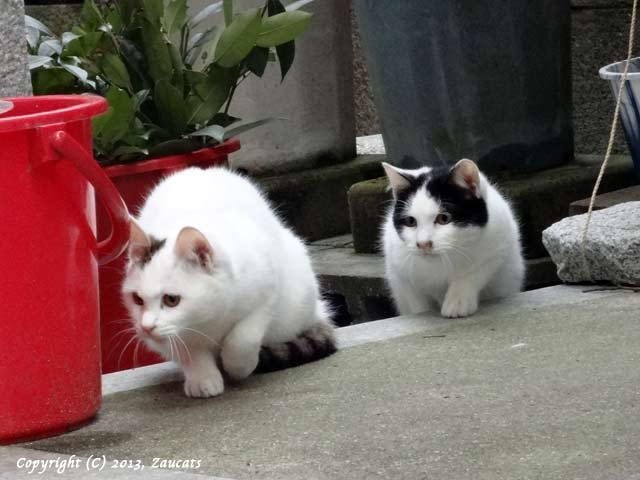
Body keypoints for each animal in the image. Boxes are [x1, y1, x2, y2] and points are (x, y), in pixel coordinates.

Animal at [122, 167, 338, 400]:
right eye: (137, 299)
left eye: (171, 300)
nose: (146, 327)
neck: (208, 319)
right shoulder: (175, 336)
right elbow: (190, 351)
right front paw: (203, 379)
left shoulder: (267, 286)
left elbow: (243, 337)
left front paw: (239, 366)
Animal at [380, 159, 524, 318]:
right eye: (410, 221)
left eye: (444, 218)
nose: (423, 244)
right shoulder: (402, 274)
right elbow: (418, 305)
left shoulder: (498, 244)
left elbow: (473, 272)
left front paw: (457, 303)